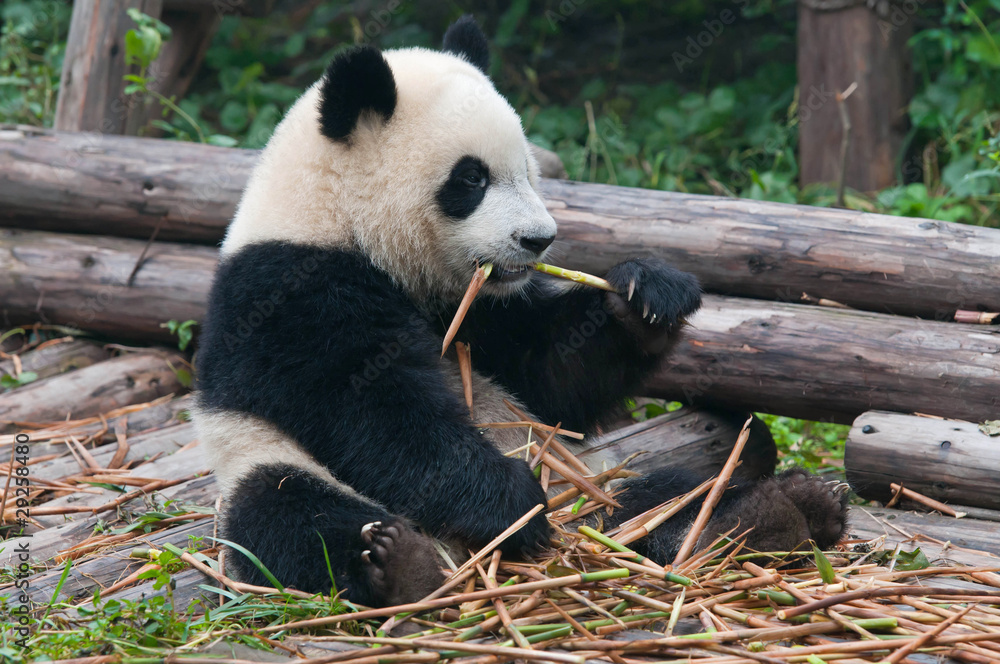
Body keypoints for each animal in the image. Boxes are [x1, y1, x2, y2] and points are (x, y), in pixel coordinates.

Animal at [194, 16, 849, 608]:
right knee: (288, 517)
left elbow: (549, 376)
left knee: (666, 495)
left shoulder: (480, 306)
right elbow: (371, 408)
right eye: (471, 178)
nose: (538, 240)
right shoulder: (291, 291)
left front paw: (646, 296)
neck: (337, 218)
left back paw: (775, 510)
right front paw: (510, 502)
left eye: (530, 171)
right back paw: (404, 566)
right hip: (259, 462)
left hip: (594, 484)